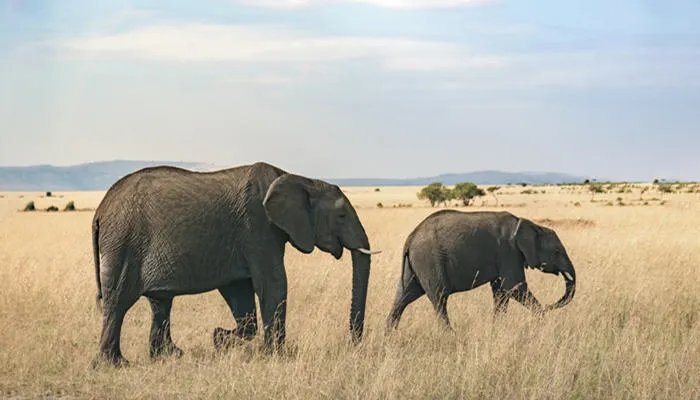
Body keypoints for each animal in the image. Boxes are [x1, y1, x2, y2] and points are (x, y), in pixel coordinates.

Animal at [92, 162, 378, 365]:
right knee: (118, 302)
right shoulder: (257, 226)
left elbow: (240, 291)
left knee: (160, 303)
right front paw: (276, 356)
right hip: (123, 243)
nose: (352, 344)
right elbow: (273, 284)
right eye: (341, 216)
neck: (300, 178)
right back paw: (115, 364)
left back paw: (169, 356)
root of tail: (100, 211)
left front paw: (219, 339)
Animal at [386, 210, 576, 330]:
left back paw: (389, 336)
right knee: (439, 299)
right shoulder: (509, 251)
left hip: (416, 265)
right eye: (557, 252)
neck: (529, 224)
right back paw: (450, 335)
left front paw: (497, 328)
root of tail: (410, 239)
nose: (550, 306)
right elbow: (514, 287)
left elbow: (501, 292)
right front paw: (542, 320)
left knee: (403, 296)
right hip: (429, 260)